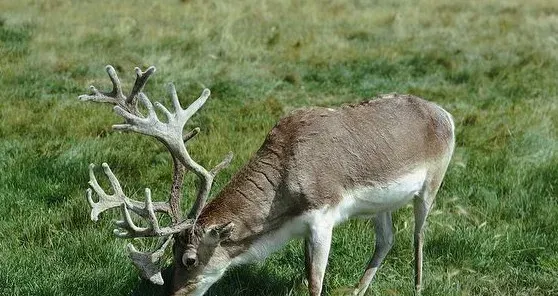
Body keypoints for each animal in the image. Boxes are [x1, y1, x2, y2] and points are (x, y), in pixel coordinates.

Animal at [80, 65, 456, 296]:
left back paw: (418, 286)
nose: (174, 293)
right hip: (382, 204)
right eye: (170, 252)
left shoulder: (323, 214)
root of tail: (446, 114)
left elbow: (315, 282)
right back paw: (357, 290)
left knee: (419, 234)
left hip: (432, 183)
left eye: (188, 259)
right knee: (386, 239)